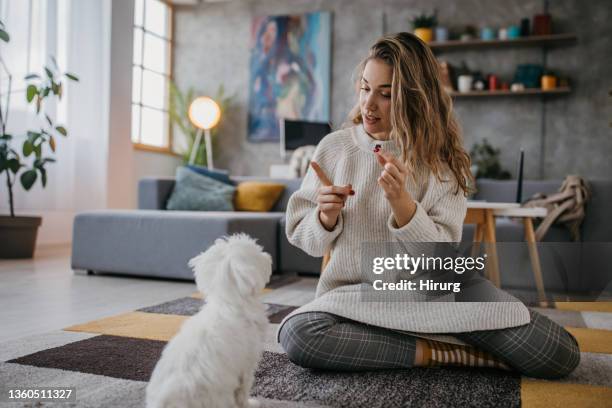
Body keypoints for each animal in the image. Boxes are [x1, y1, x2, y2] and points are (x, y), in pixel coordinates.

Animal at [146, 233, 272, 408]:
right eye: (257, 252)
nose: (268, 256)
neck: (228, 302)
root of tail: (164, 403)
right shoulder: (247, 363)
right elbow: (243, 390)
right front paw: (249, 404)